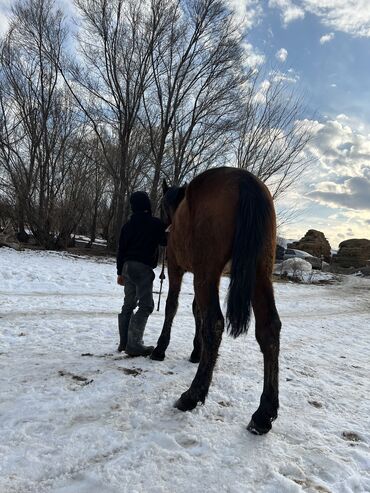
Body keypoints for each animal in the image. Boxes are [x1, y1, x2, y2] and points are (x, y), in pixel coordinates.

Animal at [150, 166, 280, 434]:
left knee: (215, 323)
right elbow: (194, 310)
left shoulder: (178, 269)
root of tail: (245, 181)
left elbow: (172, 307)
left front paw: (161, 348)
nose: (164, 229)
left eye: (161, 205)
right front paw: (196, 352)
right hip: (260, 274)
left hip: (206, 271)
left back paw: (192, 394)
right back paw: (263, 414)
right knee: (269, 330)